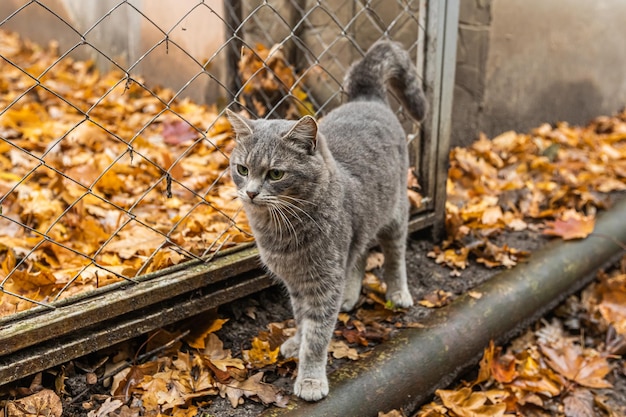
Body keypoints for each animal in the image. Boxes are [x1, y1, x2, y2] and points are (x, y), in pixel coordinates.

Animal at [227, 41, 426, 400]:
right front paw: (296, 340)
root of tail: (368, 97)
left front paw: (310, 379)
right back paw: (349, 295)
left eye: (276, 174)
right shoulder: (297, 283)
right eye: (242, 169)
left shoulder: (323, 281)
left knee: (394, 254)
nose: (250, 193)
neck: (281, 230)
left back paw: (397, 292)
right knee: (360, 253)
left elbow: (317, 336)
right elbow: (301, 319)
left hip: (396, 213)